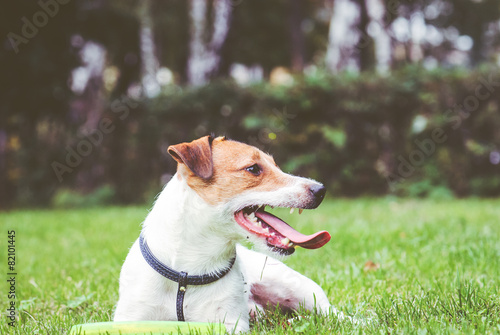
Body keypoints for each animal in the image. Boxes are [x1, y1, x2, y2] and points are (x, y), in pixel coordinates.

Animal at [113, 136, 340, 334]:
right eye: (253, 168)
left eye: (276, 165)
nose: (321, 190)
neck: (189, 270)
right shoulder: (131, 318)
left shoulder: (230, 322)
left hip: (296, 288)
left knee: (331, 312)